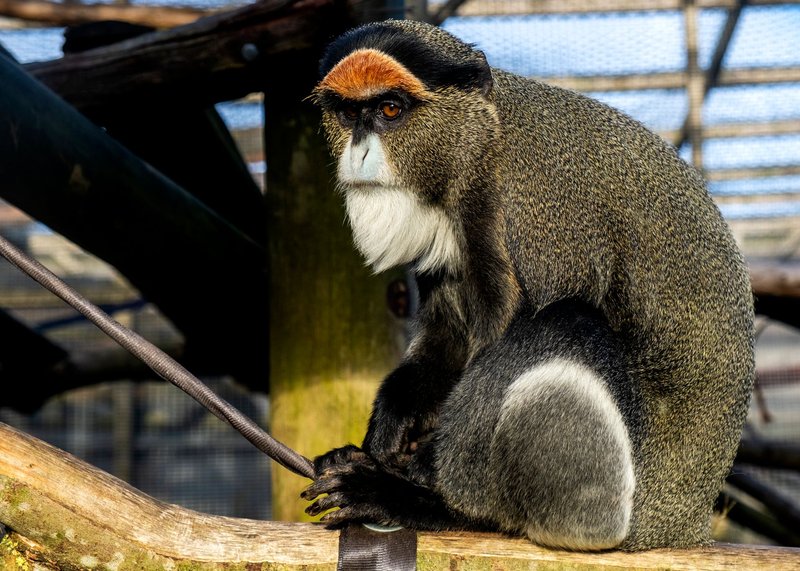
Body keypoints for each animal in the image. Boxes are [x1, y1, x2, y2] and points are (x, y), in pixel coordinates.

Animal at [301, 18, 755, 551]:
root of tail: (685, 527)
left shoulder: (544, 207)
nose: (358, 151)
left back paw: (437, 505)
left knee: (566, 324)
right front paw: (386, 427)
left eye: (390, 109)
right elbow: (446, 338)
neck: (478, 148)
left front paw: (406, 480)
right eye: (349, 113)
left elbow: (509, 341)